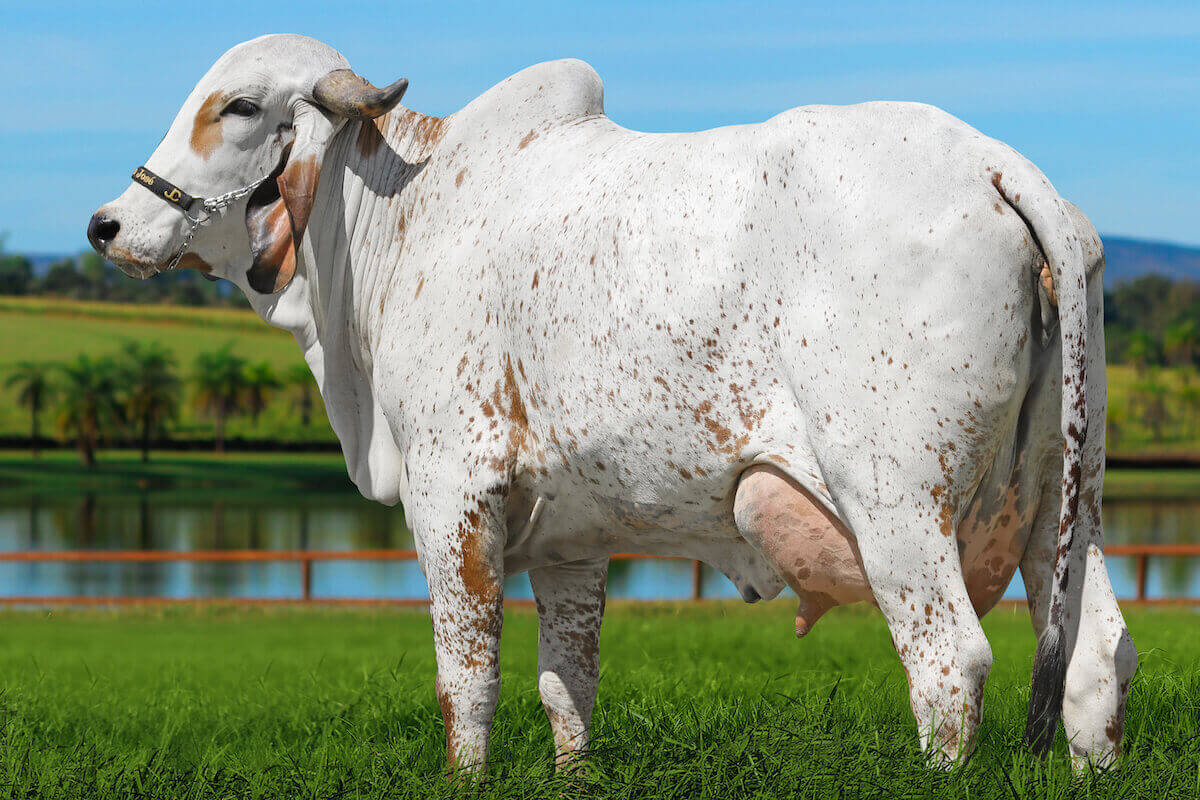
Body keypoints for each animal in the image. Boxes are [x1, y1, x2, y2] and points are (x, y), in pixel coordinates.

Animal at [87, 34, 1134, 773]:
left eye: (239, 106)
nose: (107, 224)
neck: (405, 214)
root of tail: (993, 162)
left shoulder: (452, 497)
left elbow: (466, 686)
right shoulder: (571, 538)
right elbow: (567, 687)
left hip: (895, 505)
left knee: (950, 665)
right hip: (1066, 502)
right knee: (1096, 660)